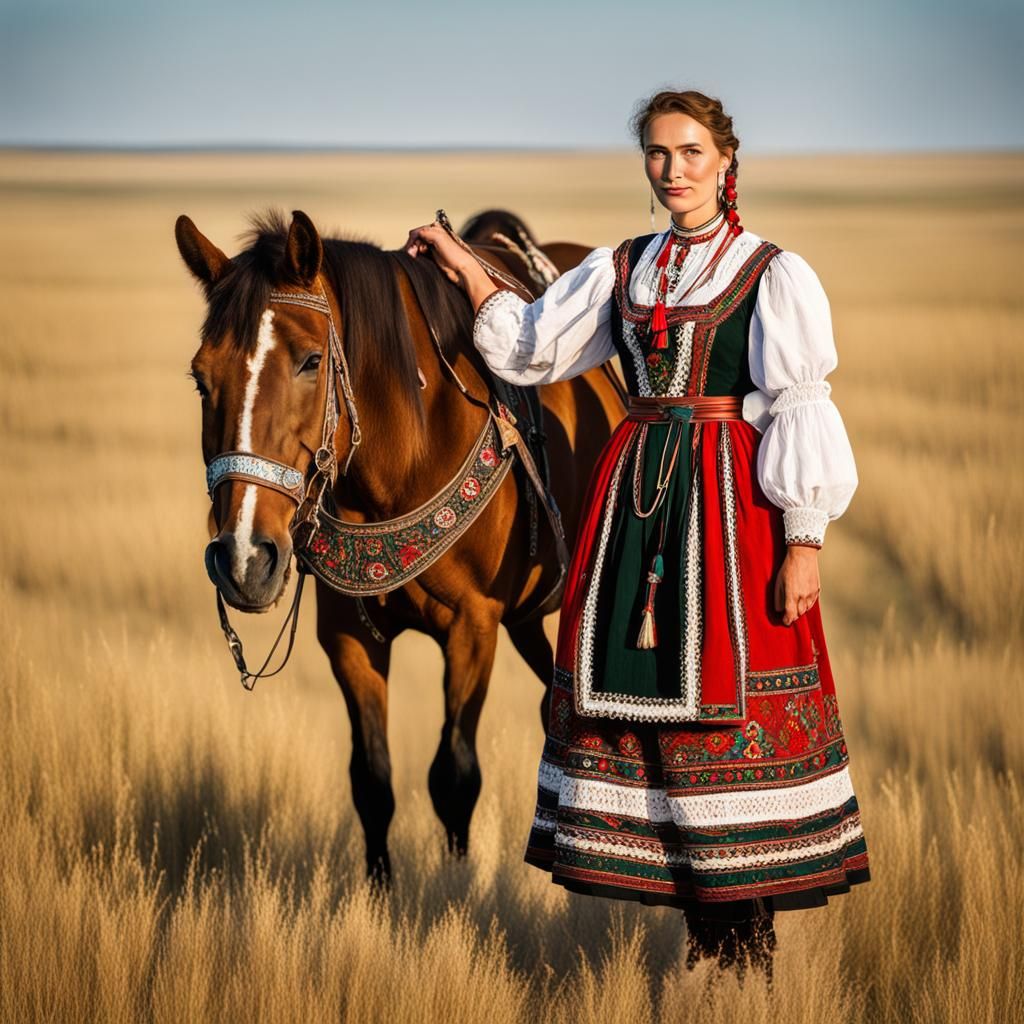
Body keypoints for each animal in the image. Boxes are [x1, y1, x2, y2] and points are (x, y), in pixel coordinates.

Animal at [174, 208, 625, 883]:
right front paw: (381, 895)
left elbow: (455, 777)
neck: (407, 454)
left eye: (311, 361)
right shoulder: (347, 638)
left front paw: (459, 889)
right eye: (202, 379)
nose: (244, 559)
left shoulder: (472, 628)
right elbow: (372, 782)